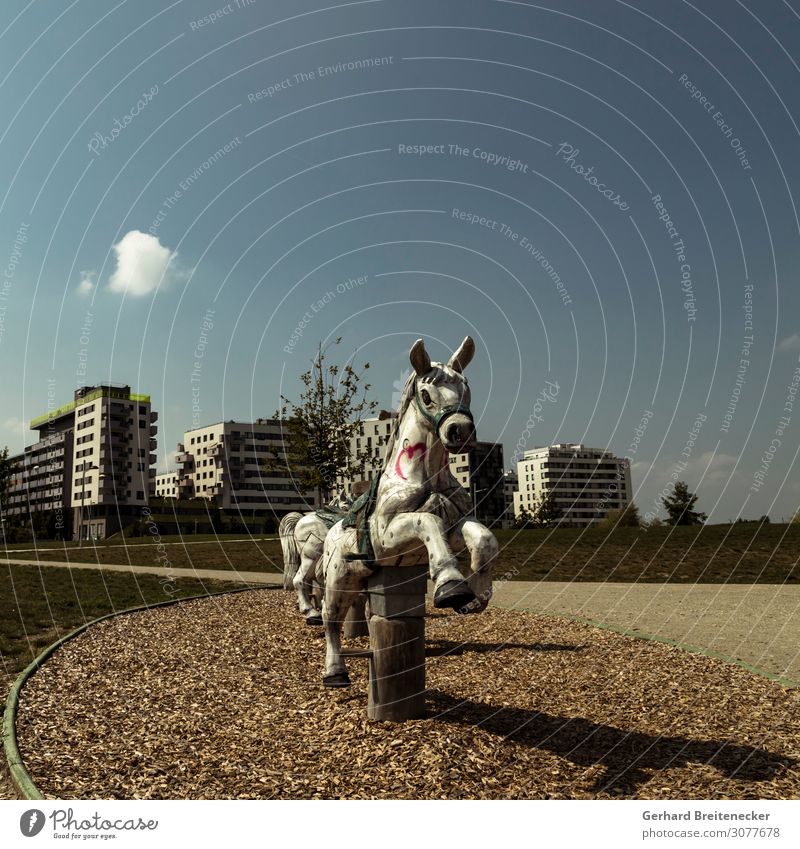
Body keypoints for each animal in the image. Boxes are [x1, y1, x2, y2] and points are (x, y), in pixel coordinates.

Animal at [320, 334, 496, 684]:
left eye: (466, 387)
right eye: (426, 395)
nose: (460, 431)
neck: (425, 475)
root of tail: (332, 530)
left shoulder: (455, 526)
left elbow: (484, 538)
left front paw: (477, 596)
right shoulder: (387, 536)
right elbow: (426, 521)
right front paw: (451, 587)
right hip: (338, 578)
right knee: (329, 618)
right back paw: (335, 673)